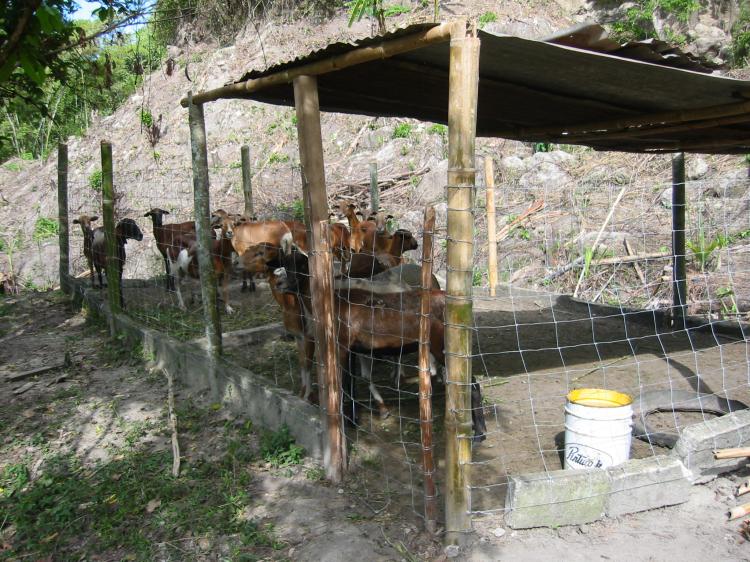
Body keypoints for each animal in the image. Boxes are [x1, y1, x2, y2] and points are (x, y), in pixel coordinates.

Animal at [280, 243, 490, 440]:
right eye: (285, 263)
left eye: (301, 264)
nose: (282, 284)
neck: (337, 304)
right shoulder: (354, 350)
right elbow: (355, 382)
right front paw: (356, 418)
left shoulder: (343, 347)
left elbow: (345, 385)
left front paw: (350, 421)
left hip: (443, 345)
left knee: (472, 385)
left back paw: (478, 434)